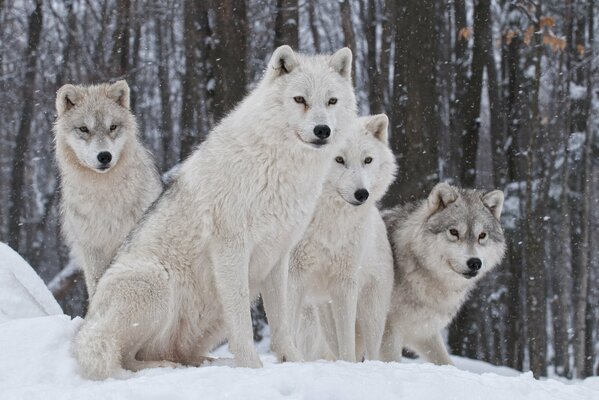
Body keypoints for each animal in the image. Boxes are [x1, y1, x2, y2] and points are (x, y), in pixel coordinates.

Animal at [72, 45, 358, 380]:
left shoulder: (278, 256)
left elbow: (282, 322)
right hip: (156, 281)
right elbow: (243, 324)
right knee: (124, 356)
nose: (322, 130)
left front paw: (294, 362)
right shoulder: (231, 249)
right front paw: (252, 368)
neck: (279, 166)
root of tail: (89, 321)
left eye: (331, 101)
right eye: (300, 99)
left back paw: (202, 362)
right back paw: (164, 367)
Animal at [380, 184, 506, 366]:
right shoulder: (388, 331)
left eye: (482, 235)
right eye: (454, 232)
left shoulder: (424, 332)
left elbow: (446, 362)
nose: (474, 262)